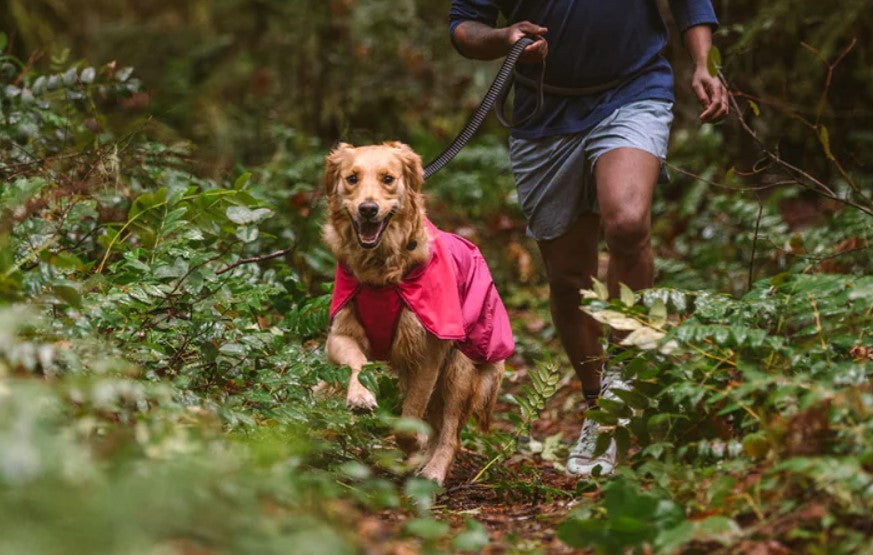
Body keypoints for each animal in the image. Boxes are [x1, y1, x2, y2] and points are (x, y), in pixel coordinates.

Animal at [320, 143, 510, 486]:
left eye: (388, 179)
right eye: (352, 178)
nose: (368, 209)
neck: (381, 274)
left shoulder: (427, 353)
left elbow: (409, 421)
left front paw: (416, 445)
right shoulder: (340, 334)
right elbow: (356, 362)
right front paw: (359, 396)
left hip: (461, 368)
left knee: (450, 432)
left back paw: (433, 470)